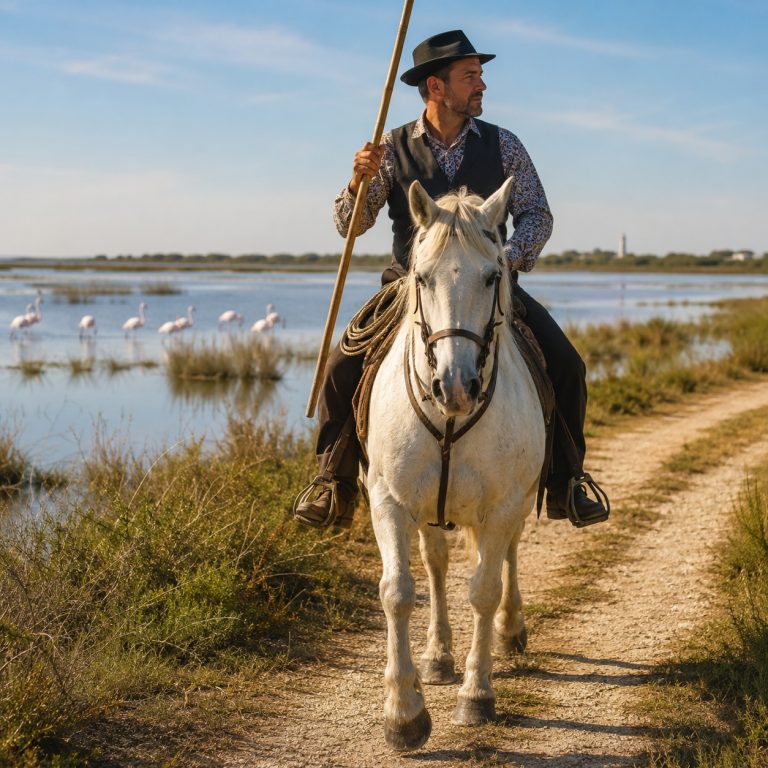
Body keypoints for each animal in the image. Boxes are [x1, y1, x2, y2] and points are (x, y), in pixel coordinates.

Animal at [364, 177, 546, 751]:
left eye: (493, 275)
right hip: (428, 511)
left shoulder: (504, 505)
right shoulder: (389, 499)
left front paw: (477, 695)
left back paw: (510, 631)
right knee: (437, 566)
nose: (455, 386)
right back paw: (438, 656)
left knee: (506, 559)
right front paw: (403, 713)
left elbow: (484, 590)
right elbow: (399, 592)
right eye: (421, 276)